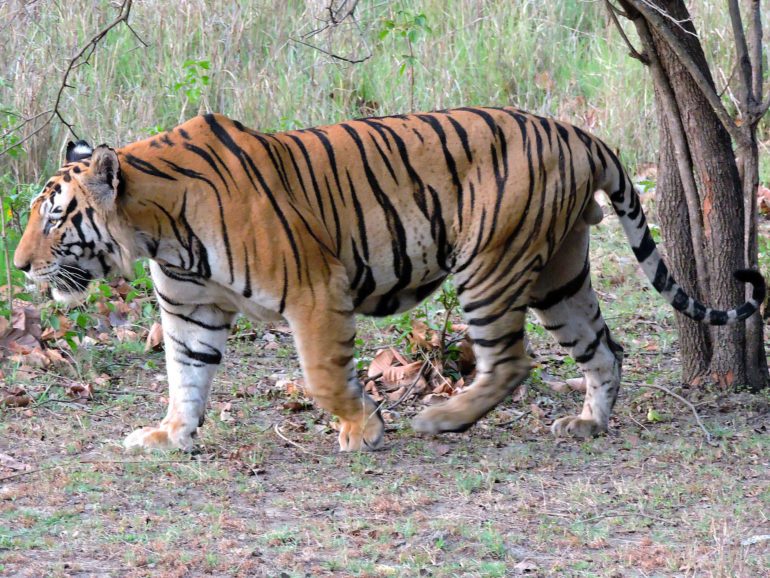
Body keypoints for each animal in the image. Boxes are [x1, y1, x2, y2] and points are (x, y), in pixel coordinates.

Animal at [14, 107, 765, 452]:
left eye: (53, 217)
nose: (19, 267)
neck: (158, 230)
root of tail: (580, 133)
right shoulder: (191, 311)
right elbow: (186, 377)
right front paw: (170, 435)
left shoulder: (315, 291)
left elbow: (322, 375)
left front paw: (365, 428)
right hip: (561, 274)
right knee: (605, 349)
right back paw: (587, 423)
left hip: (489, 266)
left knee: (511, 360)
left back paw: (443, 417)